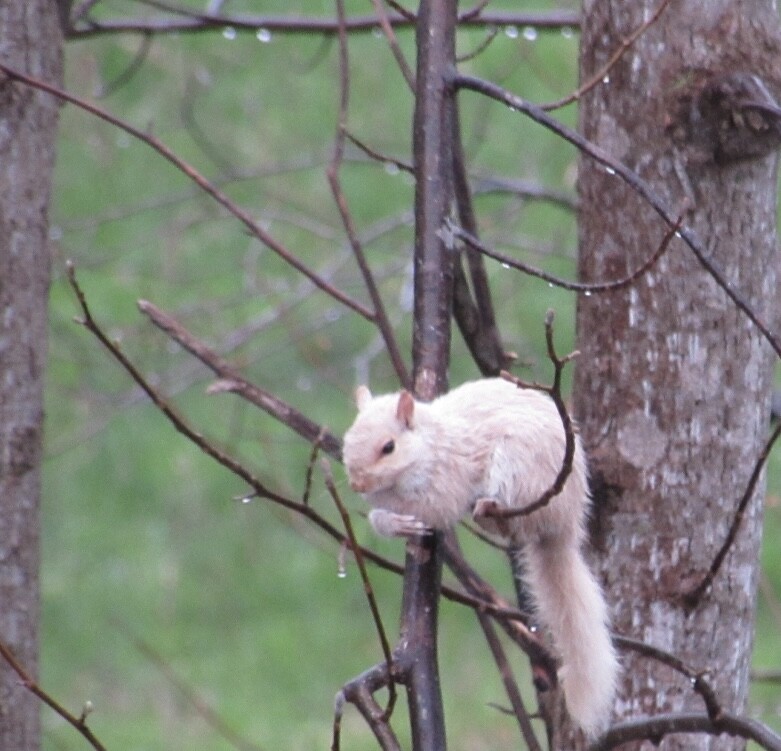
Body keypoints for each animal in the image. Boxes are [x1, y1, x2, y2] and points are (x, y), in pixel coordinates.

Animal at [342, 377, 618, 737]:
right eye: (347, 438)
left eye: (389, 447)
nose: (357, 483)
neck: (431, 445)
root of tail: (563, 523)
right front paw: (389, 522)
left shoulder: (448, 481)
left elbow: (435, 509)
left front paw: (394, 520)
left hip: (520, 469)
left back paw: (489, 509)